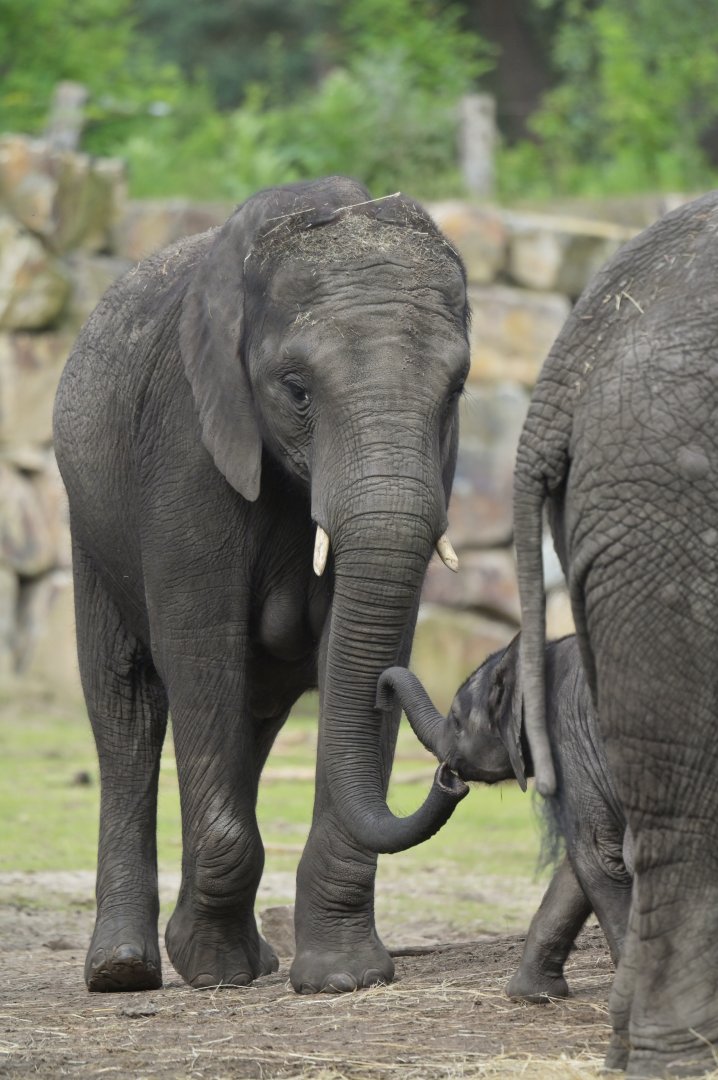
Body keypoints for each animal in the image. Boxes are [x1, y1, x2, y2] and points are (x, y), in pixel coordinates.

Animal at [52, 176, 478, 998]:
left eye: (457, 390)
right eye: (297, 391)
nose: (452, 775)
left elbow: (358, 648)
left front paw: (341, 978)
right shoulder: (186, 445)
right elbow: (199, 653)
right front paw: (212, 972)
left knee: (249, 718)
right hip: (89, 525)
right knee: (127, 706)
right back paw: (125, 972)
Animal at [377, 633, 633, 1003]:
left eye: (457, 721)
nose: (448, 778)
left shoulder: (569, 741)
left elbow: (599, 853)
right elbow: (576, 870)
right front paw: (530, 995)